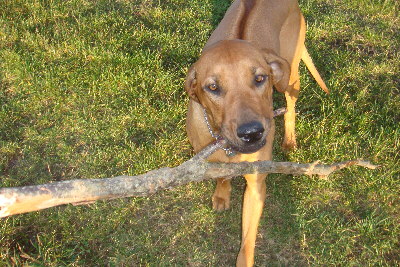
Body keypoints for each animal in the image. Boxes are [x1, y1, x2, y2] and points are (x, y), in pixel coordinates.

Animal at [184, 1, 328, 266]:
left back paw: (289, 139)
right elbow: (222, 177)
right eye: (213, 87)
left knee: (291, 103)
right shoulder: (210, 159)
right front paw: (222, 195)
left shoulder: (255, 186)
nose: (252, 133)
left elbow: (247, 242)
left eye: (260, 78)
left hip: (289, 75)